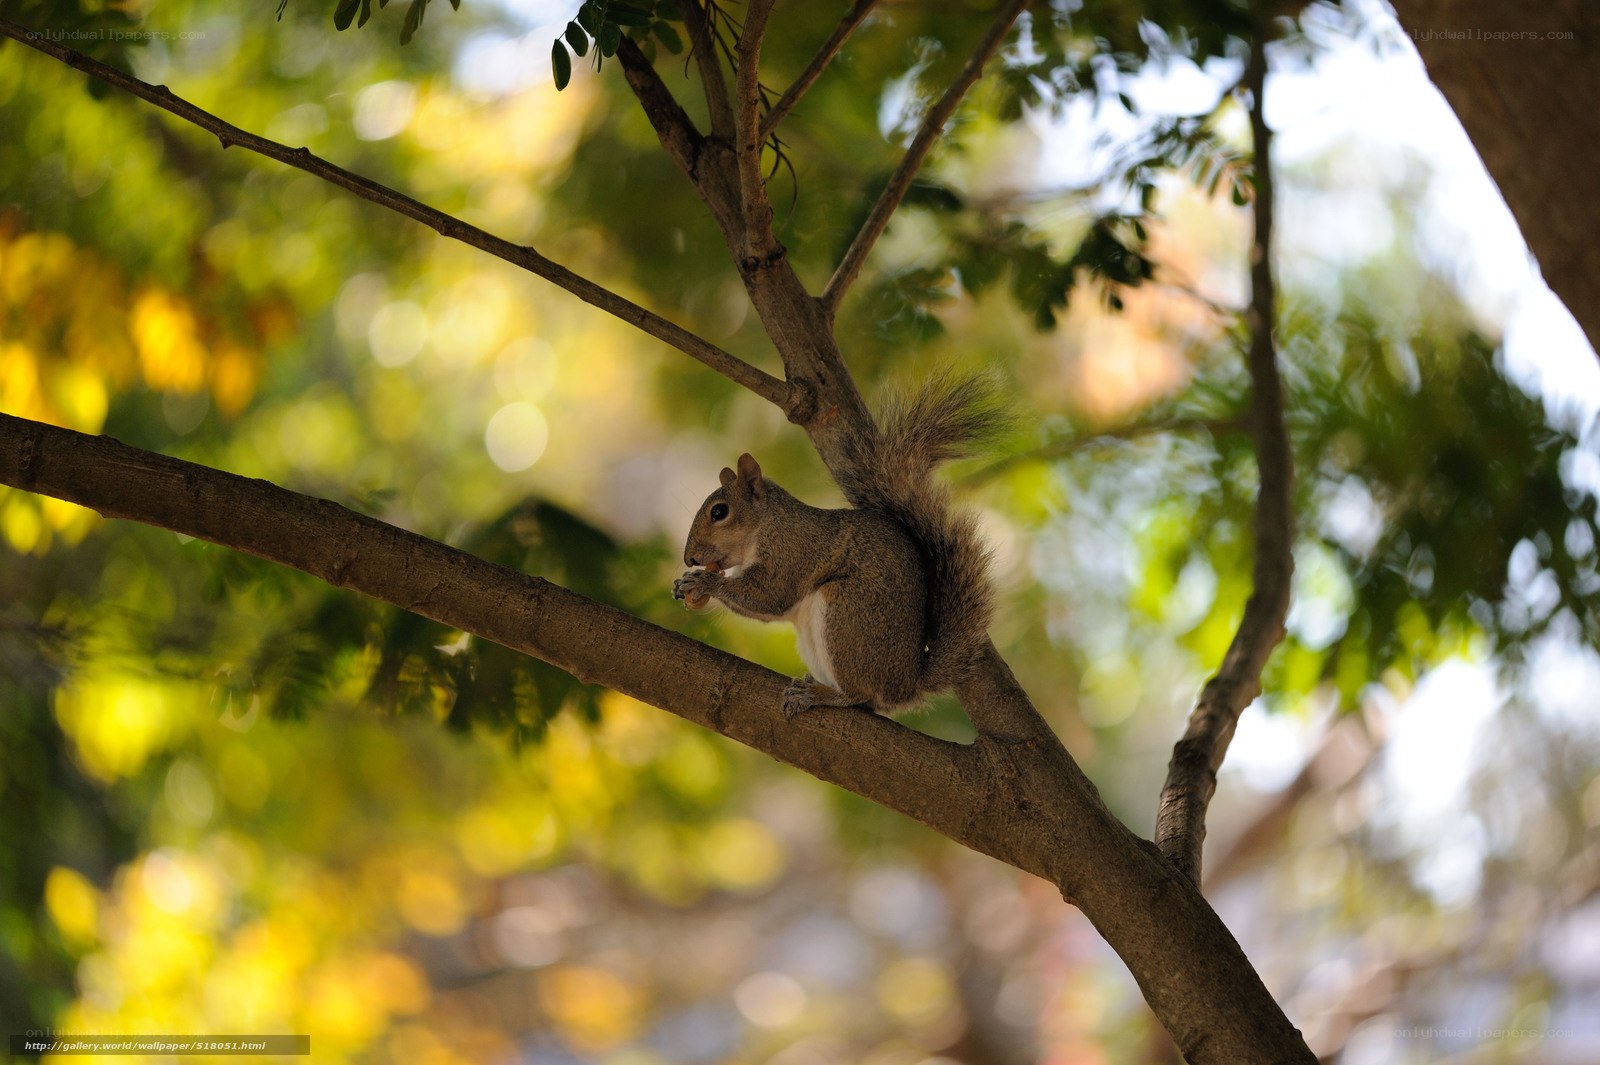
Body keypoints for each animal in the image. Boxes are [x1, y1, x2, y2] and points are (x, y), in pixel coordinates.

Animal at [672, 376, 1002, 717]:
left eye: (719, 512)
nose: (689, 558)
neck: (766, 525)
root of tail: (905, 685)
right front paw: (685, 583)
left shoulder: (793, 551)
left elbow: (769, 597)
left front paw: (704, 581)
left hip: (846, 613)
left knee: (860, 693)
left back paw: (819, 694)